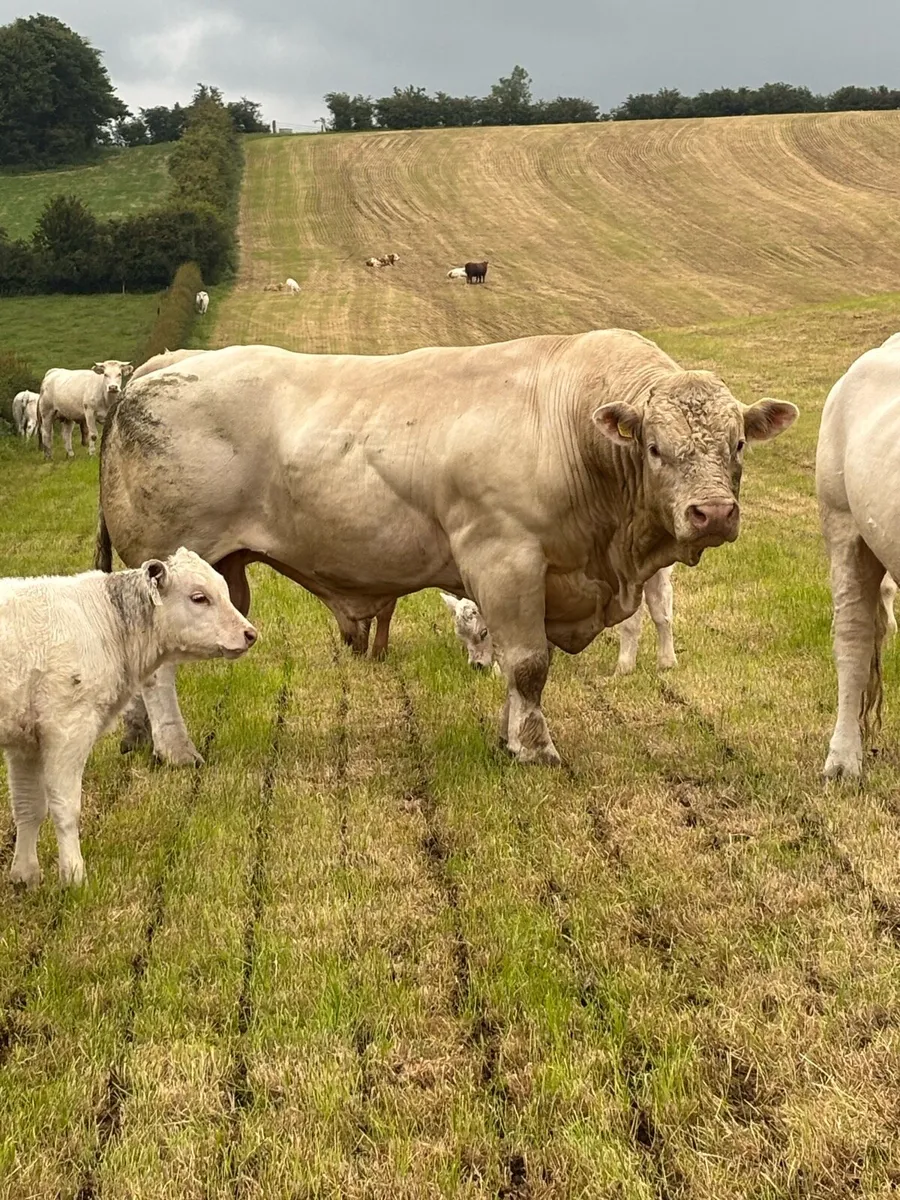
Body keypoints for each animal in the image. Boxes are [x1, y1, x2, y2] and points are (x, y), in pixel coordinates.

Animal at [1, 548, 257, 888]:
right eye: (199, 597)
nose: (250, 634)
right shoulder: (68, 728)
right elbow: (65, 808)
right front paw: (74, 877)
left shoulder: (24, 741)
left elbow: (28, 807)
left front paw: (25, 876)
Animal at [94, 331, 798, 768]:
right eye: (654, 446)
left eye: (737, 443)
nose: (713, 513)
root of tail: (161, 365)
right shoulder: (505, 559)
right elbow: (528, 664)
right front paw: (537, 751)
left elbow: (515, 668)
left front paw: (510, 741)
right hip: (171, 566)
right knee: (156, 673)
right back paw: (177, 751)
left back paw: (137, 740)